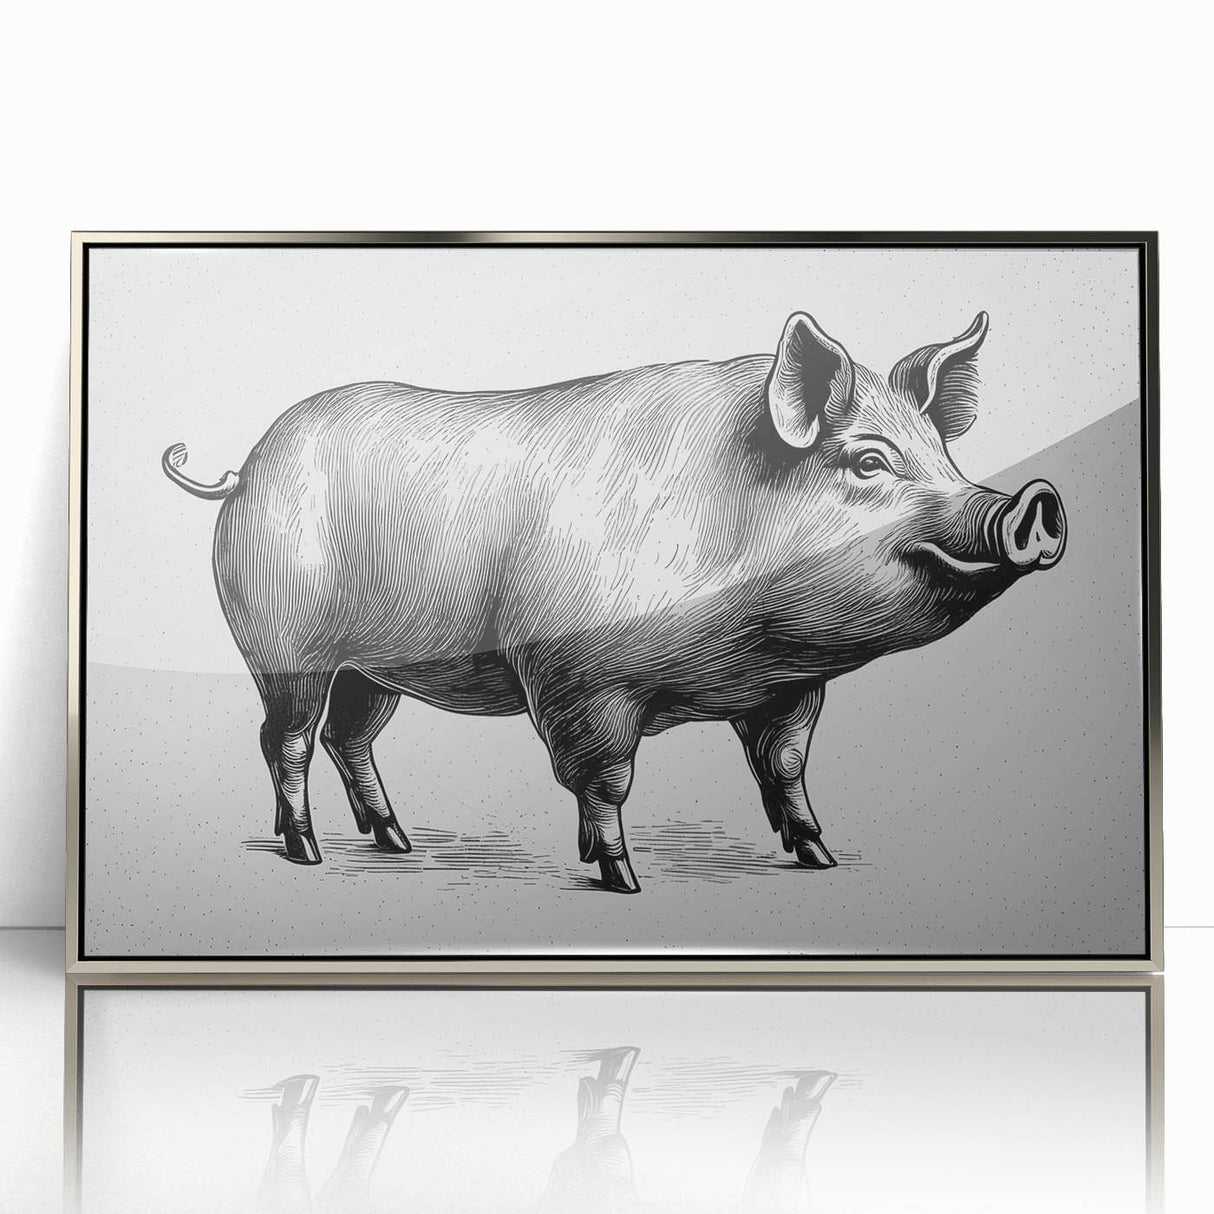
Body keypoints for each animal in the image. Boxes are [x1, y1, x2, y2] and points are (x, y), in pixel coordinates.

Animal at [162, 309, 1066, 893]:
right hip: (284, 646)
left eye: (946, 456)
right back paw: (308, 854)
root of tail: (245, 469)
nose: (1033, 501)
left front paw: (818, 857)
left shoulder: (789, 687)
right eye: (870, 461)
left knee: (349, 737)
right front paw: (622, 878)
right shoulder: (576, 676)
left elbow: (785, 766)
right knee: (285, 740)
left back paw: (394, 842)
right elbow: (604, 777)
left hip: (376, 665)